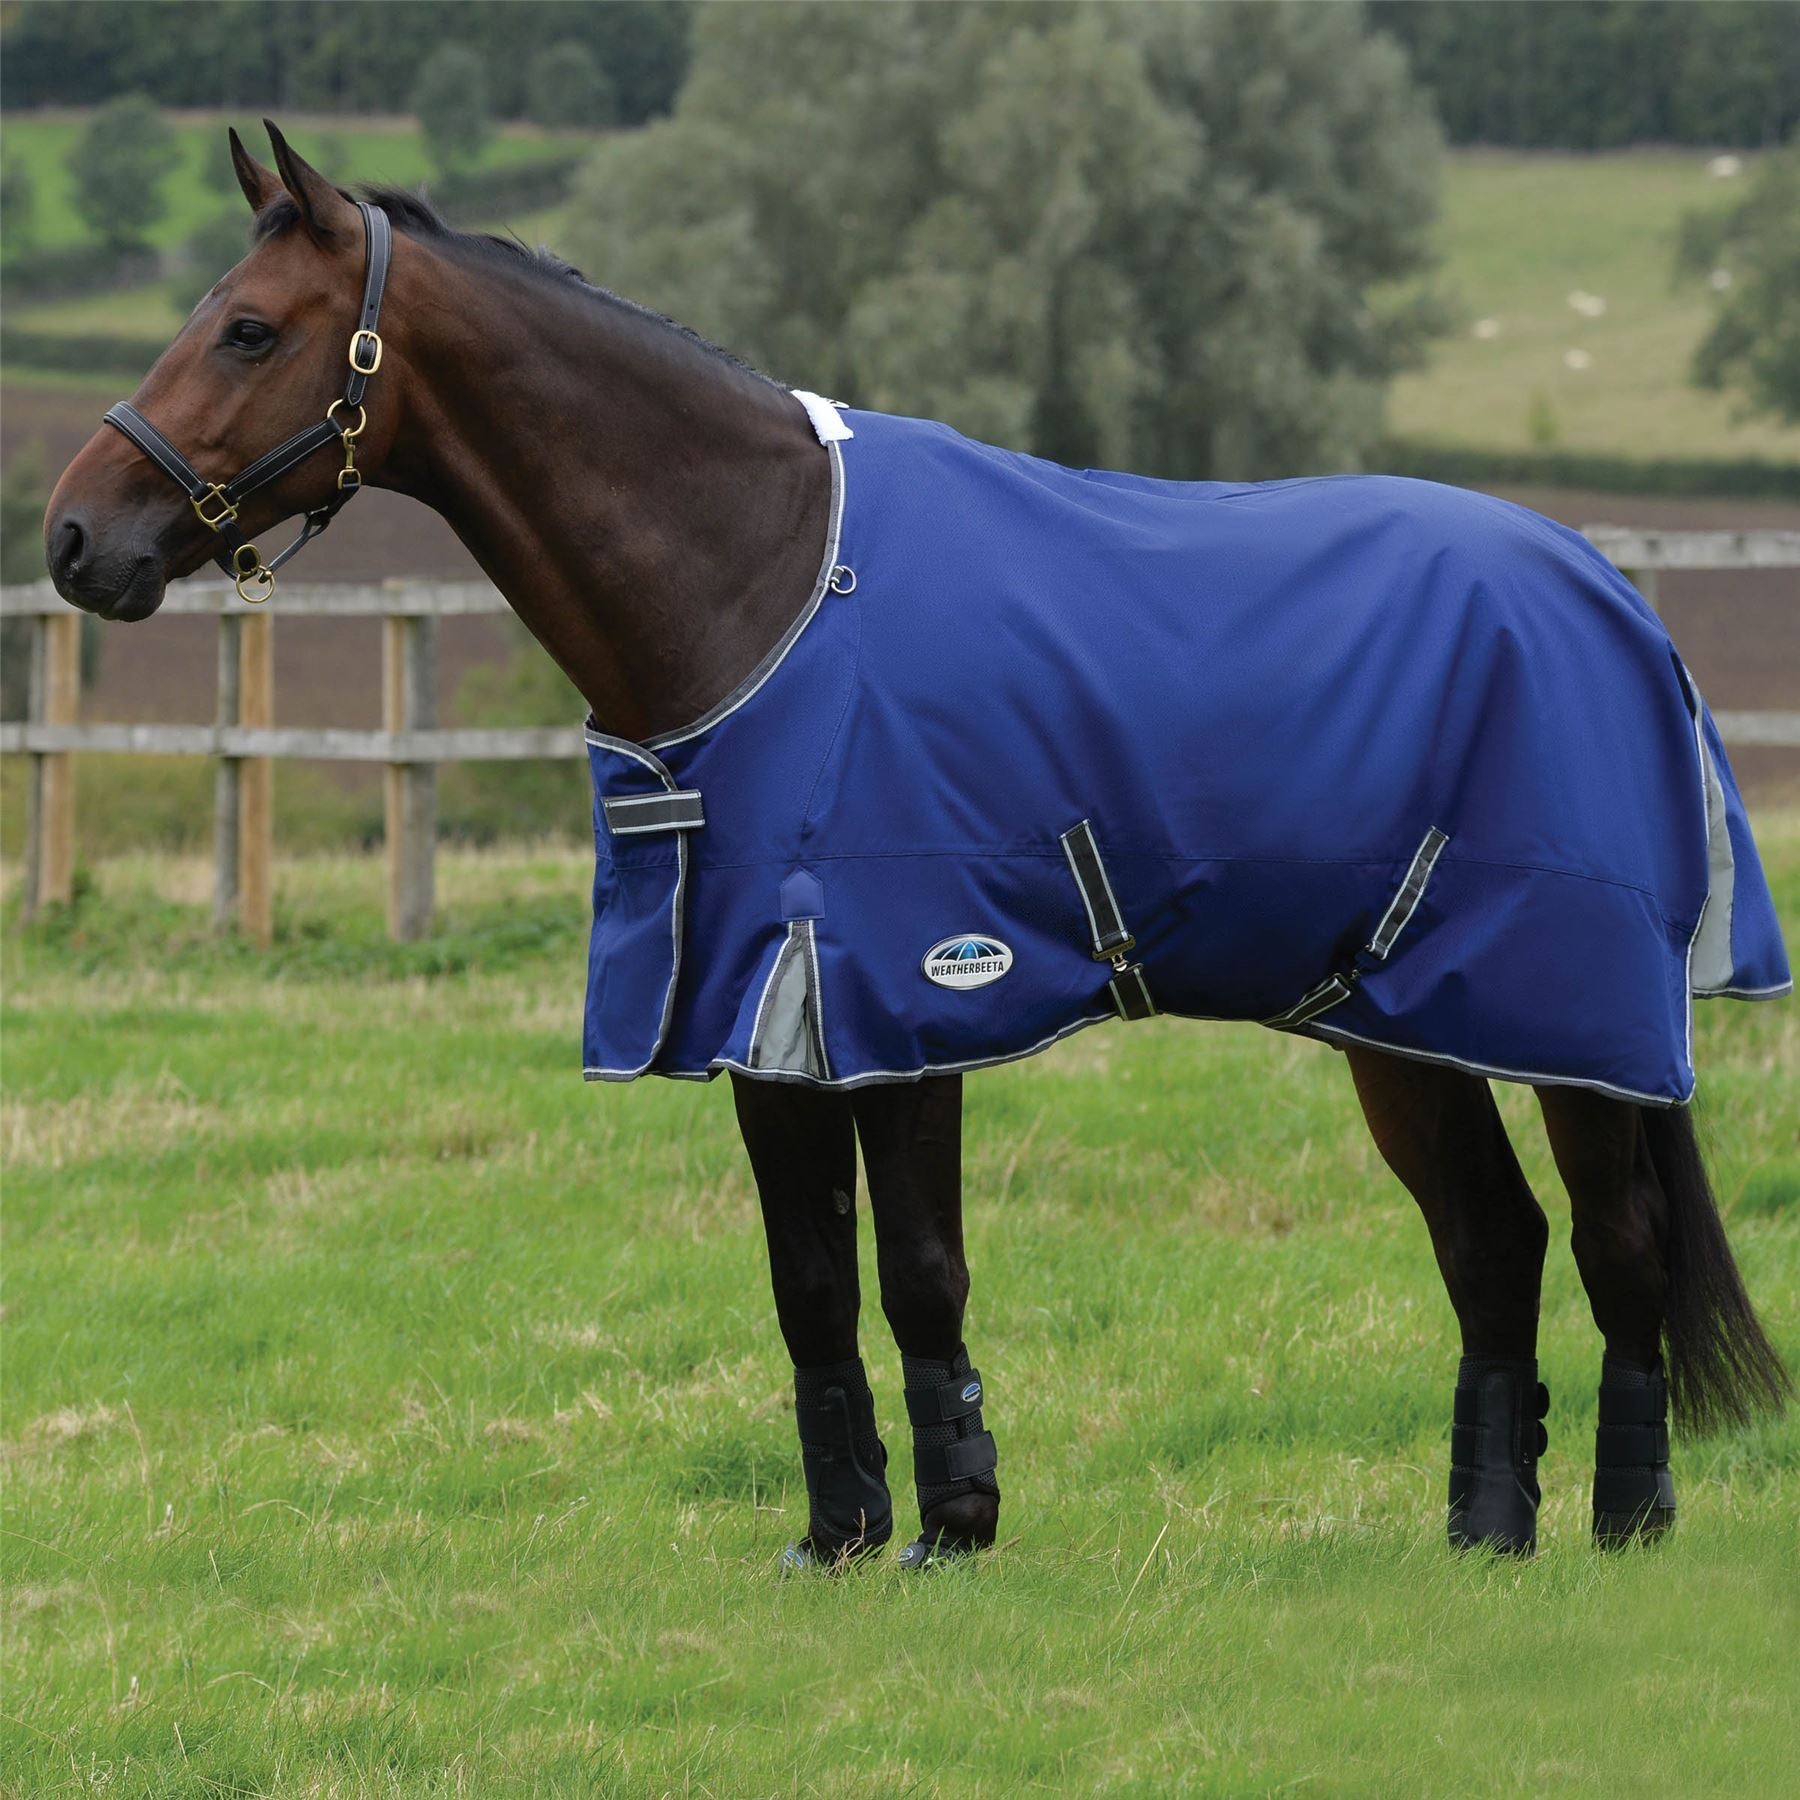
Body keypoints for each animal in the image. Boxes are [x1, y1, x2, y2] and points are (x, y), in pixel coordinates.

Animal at [45, 125, 1791, 1567]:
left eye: (249, 328)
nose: (74, 538)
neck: (765, 583)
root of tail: (1612, 593)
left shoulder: (906, 987)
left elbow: (920, 1270)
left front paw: (957, 1524)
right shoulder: (762, 1006)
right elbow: (809, 1284)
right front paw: (839, 1534)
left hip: (1570, 1015)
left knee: (1618, 1242)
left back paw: (1628, 1523)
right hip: (1399, 1019)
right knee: (1493, 1247)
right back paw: (1486, 1534)